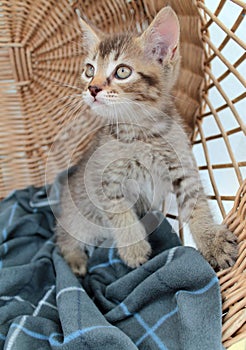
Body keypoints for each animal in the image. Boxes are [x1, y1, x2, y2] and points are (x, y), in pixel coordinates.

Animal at [55, 6, 236, 276]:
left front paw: (211, 241)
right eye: (89, 70)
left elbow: (197, 205)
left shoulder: (183, 167)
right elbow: (119, 212)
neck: (142, 133)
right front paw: (134, 249)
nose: (92, 89)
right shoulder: (104, 180)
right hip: (77, 218)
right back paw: (76, 261)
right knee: (63, 238)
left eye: (122, 71)